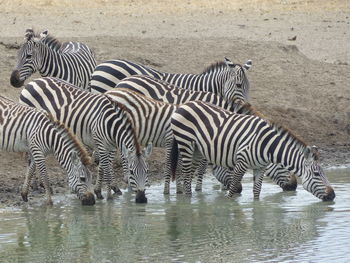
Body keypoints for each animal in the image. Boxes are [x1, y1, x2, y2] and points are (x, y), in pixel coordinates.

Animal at [18, 77, 151, 203]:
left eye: (147, 171)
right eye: (132, 172)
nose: (141, 199)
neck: (110, 124)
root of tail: (33, 81)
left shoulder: (109, 146)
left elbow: (103, 167)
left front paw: (99, 192)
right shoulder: (101, 143)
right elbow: (106, 170)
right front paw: (109, 198)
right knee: (30, 158)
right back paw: (35, 185)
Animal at [113, 75, 296, 194]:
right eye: (280, 162)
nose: (294, 186)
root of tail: (121, 83)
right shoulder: (181, 139)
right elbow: (181, 165)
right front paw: (175, 191)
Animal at [171, 101, 334, 202]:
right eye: (317, 174)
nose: (333, 195)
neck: (267, 145)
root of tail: (186, 104)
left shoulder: (260, 167)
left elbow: (257, 191)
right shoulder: (241, 162)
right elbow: (233, 189)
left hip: (197, 151)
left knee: (186, 174)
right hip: (186, 144)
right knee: (186, 177)